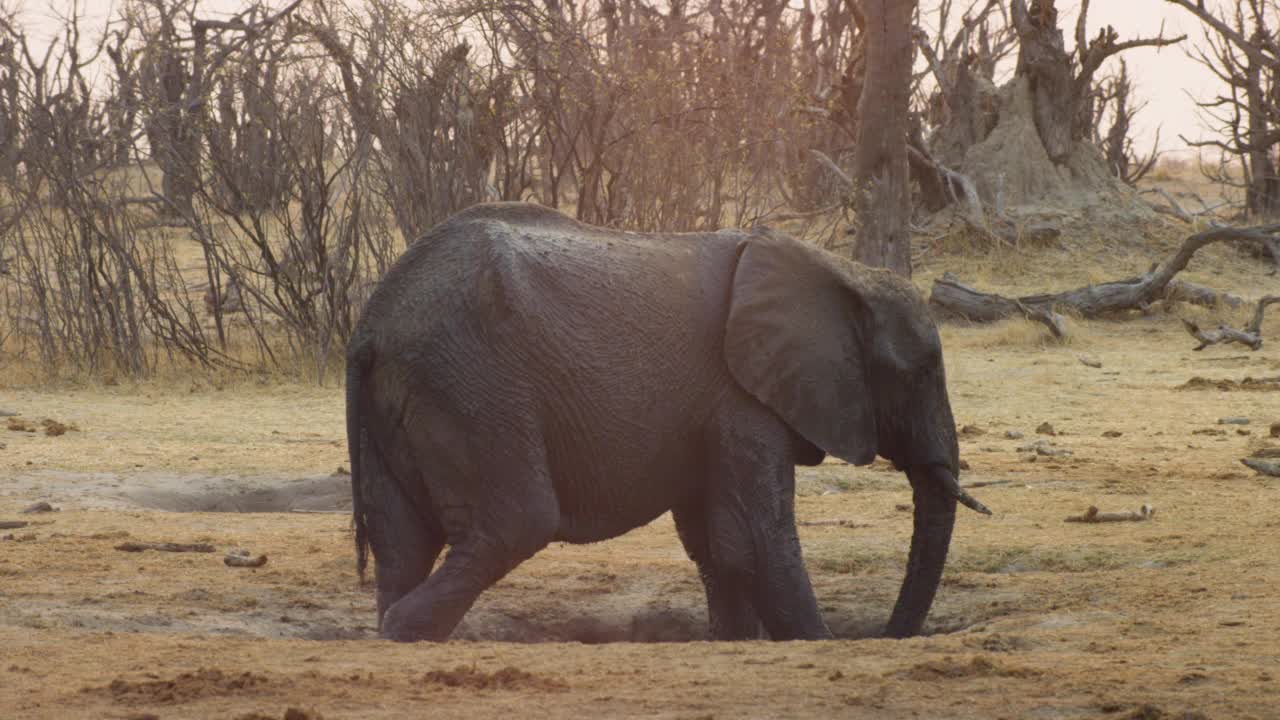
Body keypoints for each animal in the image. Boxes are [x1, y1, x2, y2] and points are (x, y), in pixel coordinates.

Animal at [343, 199, 988, 638]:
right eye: (922, 371)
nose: (890, 635)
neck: (837, 272)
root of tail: (370, 324)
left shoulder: (709, 409)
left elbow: (721, 545)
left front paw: (734, 641)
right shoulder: (739, 398)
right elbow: (760, 539)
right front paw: (815, 641)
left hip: (411, 397)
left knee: (401, 541)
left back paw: (393, 627)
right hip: (473, 383)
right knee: (516, 522)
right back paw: (403, 629)